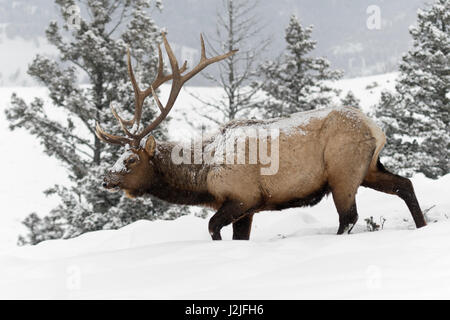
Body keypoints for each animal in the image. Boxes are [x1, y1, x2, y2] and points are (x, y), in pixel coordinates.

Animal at [95, 33, 426, 240]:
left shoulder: (243, 196)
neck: (203, 177)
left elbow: (212, 227)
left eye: (130, 159)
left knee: (349, 217)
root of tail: (376, 129)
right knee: (405, 185)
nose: (106, 178)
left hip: (343, 171)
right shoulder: (247, 209)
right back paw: (423, 226)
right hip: (367, 168)